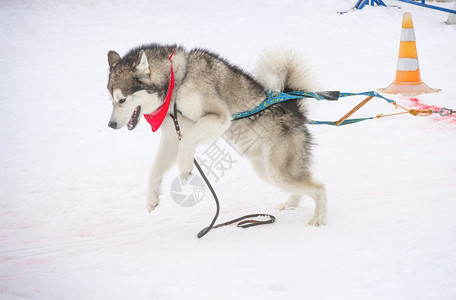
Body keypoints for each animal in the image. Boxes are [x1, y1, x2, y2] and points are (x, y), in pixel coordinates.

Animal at [107, 44, 328, 226]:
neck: (176, 83)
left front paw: (185, 168)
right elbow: (155, 169)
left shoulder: (219, 118)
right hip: (267, 170)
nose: (110, 124)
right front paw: (152, 197)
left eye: (122, 100)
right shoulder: (172, 136)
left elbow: (187, 142)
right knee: (302, 186)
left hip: (277, 171)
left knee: (319, 187)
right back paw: (290, 204)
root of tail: (293, 108)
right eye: (111, 99)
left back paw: (319, 218)